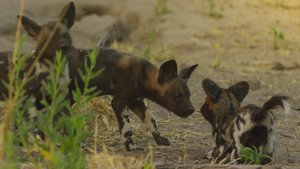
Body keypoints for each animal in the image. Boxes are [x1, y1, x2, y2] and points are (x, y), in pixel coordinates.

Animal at [21, 1, 199, 151]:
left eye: (189, 95)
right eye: (178, 95)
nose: (192, 110)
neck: (144, 74)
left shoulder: (136, 101)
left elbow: (151, 119)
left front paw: (159, 139)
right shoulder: (119, 102)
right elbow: (127, 128)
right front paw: (131, 147)